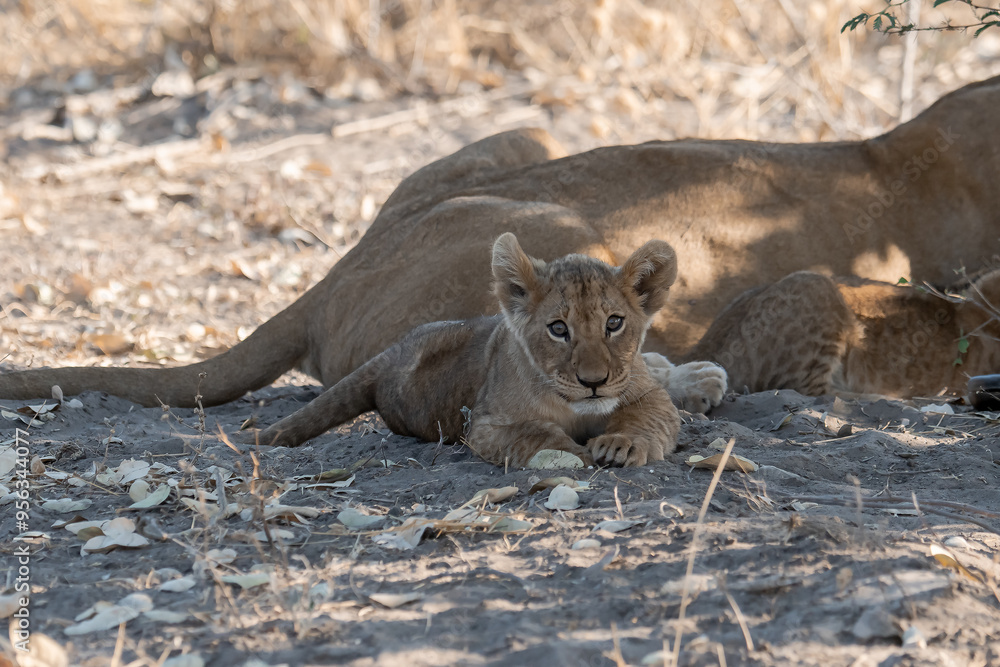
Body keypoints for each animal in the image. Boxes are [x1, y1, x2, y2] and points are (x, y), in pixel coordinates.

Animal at [249, 233, 722, 467]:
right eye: (558, 329)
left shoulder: (645, 394)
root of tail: (393, 350)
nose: (593, 382)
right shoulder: (485, 425)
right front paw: (570, 452)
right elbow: (535, 433)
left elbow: (645, 415)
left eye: (614, 323)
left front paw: (621, 444)